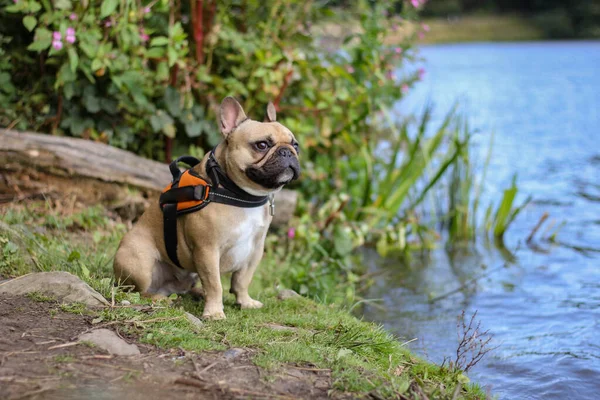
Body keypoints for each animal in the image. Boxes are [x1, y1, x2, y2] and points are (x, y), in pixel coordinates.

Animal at [113, 97, 300, 318]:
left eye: (295, 144)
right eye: (262, 145)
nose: (288, 152)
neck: (243, 194)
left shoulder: (255, 249)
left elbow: (243, 279)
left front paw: (245, 302)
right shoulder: (207, 250)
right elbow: (214, 284)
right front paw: (214, 313)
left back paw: (195, 293)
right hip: (139, 262)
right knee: (138, 291)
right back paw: (160, 298)